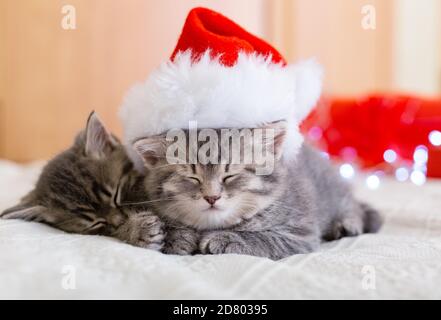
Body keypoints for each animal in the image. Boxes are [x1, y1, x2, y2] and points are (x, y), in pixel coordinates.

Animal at [133, 120, 382, 260]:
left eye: (230, 174)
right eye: (191, 177)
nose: (212, 197)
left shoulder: (301, 233)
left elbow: (266, 239)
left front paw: (226, 239)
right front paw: (176, 236)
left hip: (333, 189)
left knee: (353, 205)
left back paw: (346, 223)